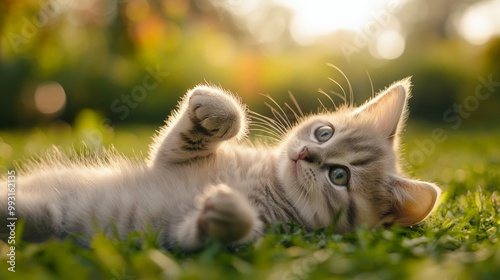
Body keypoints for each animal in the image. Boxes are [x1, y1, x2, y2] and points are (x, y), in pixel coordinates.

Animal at [0, 77, 440, 249]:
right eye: (324, 133)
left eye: (339, 175)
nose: (305, 155)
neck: (263, 180)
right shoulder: (168, 161)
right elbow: (184, 138)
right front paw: (214, 109)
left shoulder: (174, 235)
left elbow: (204, 236)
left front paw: (228, 214)